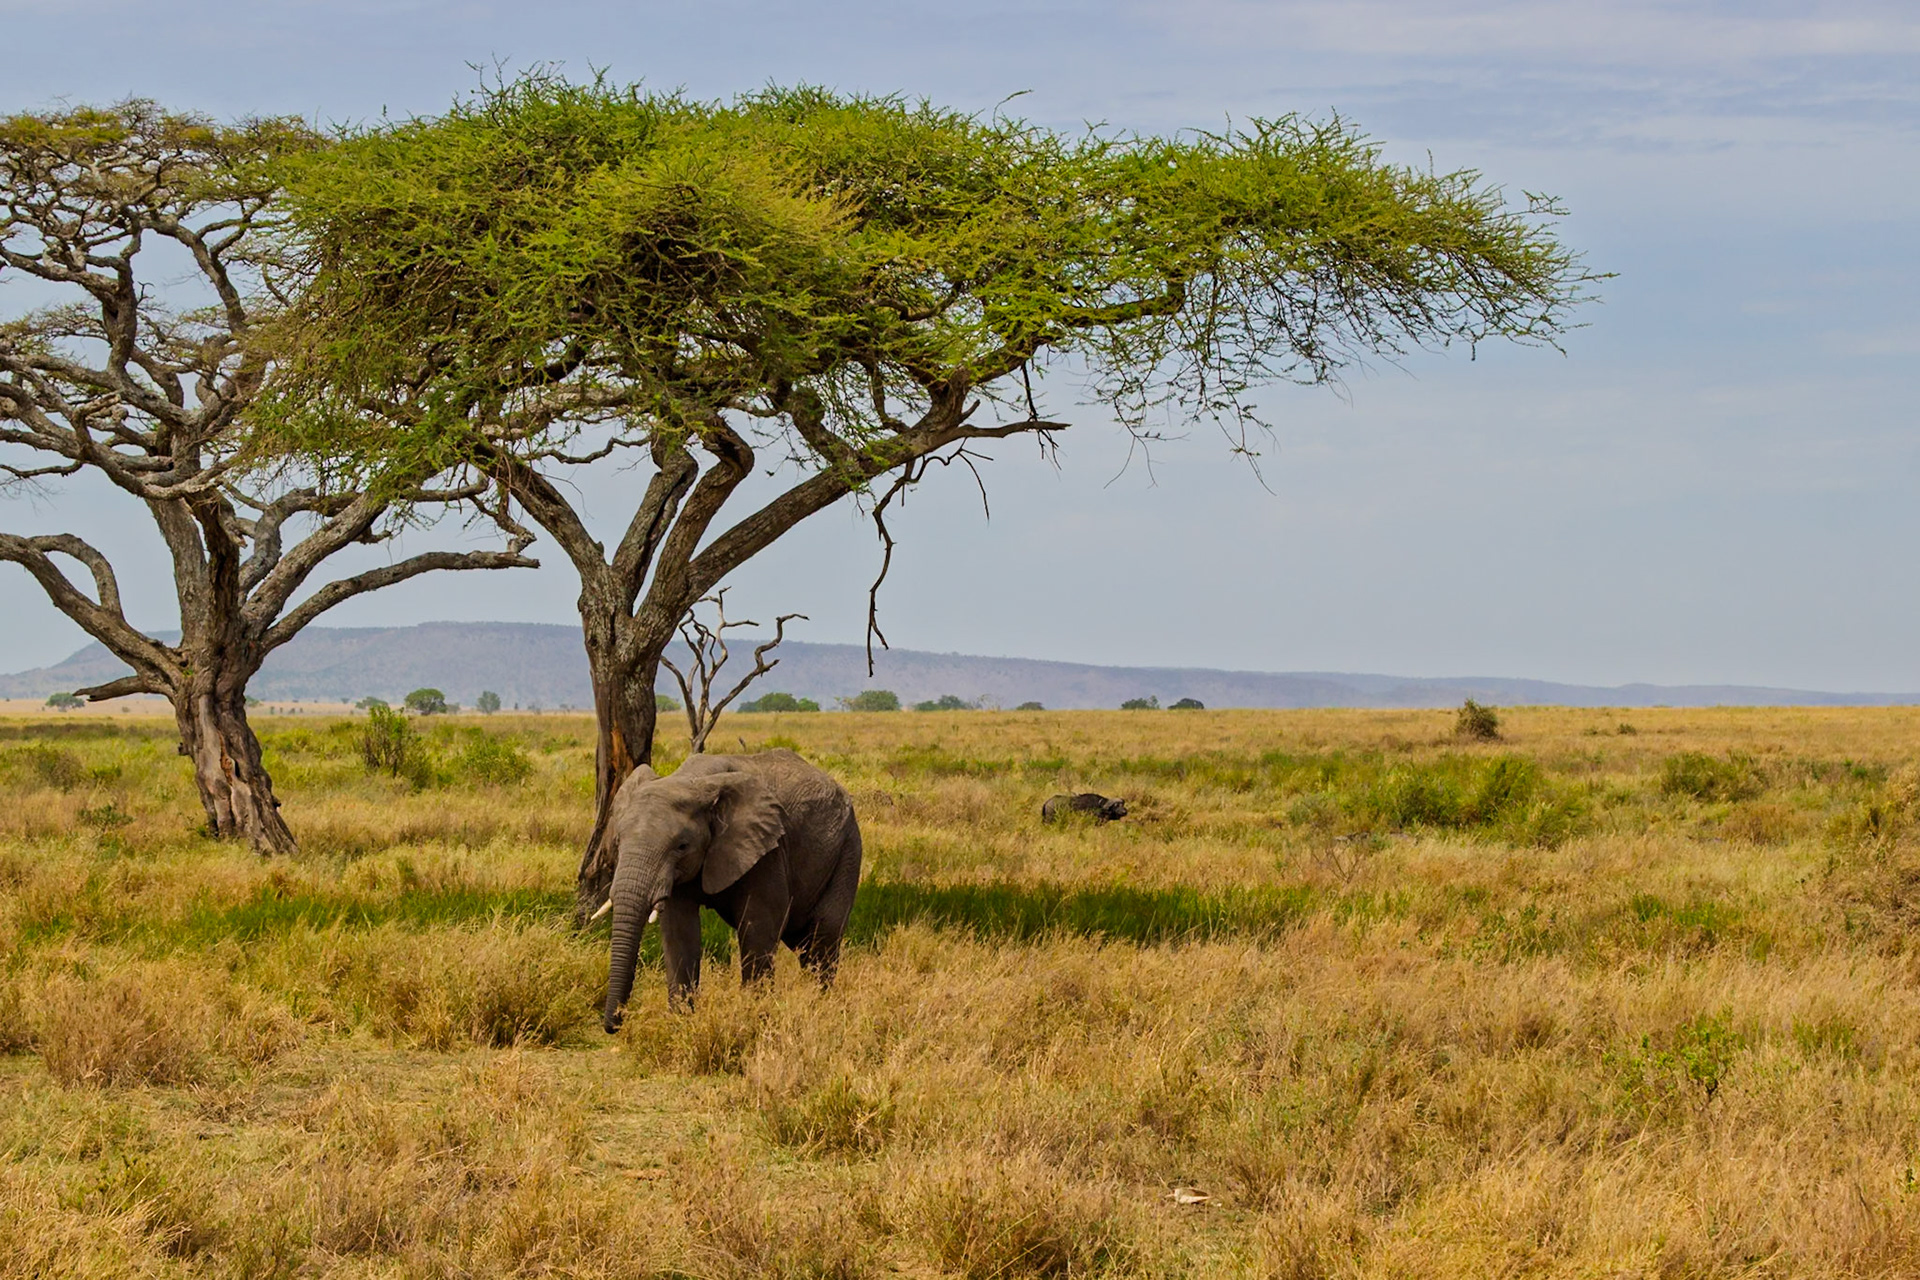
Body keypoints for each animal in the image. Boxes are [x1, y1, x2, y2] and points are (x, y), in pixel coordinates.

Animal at [600, 749, 862, 1033]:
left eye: (682, 846)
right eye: (617, 842)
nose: (614, 1024)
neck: (693, 780)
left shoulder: (768, 850)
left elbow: (759, 925)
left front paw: (754, 1018)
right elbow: (679, 930)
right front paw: (681, 1023)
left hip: (848, 848)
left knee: (823, 938)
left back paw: (819, 1005)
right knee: (804, 944)